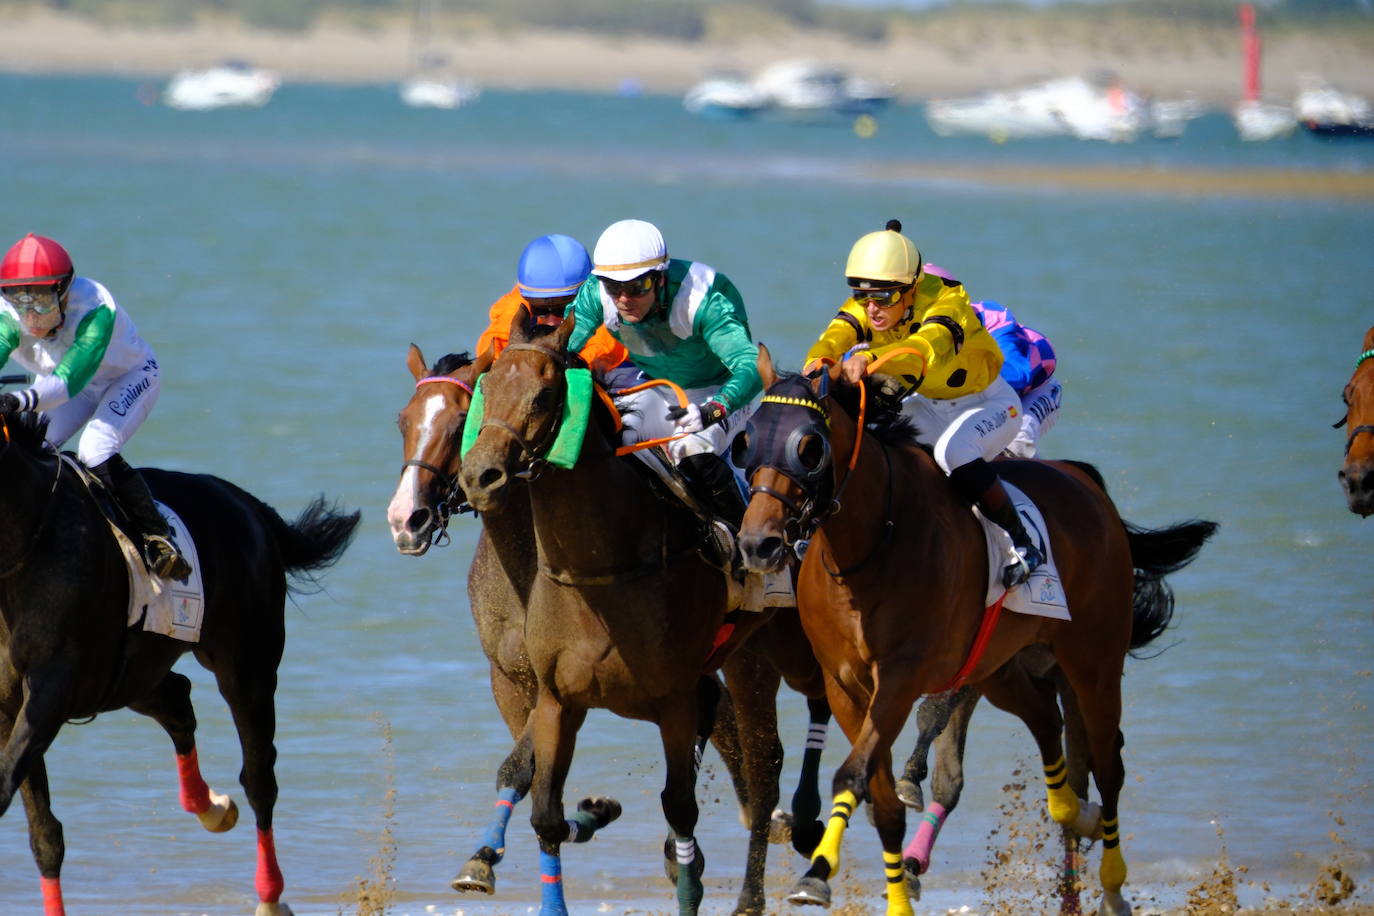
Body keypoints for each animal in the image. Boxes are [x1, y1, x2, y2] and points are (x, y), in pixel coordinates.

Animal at [0, 409, 359, 916]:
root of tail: (244, 501)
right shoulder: (14, 705)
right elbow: (43, 833)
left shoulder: (50, 693)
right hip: (128, 675)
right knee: (178, 700)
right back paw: (212, 807)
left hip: (245, 664)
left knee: (258, 776)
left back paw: (269, 894)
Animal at [458, 317, 796, 916]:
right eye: (486, 385)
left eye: (544, 394)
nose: (481, 475)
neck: (601, 570)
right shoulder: (557, 698)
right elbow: (546, 813)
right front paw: (594, 813)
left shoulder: (673, 699)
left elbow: (680, 805)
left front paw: (688, 882)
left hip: (765, 654)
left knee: (765, 770)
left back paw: (753, 896)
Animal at [736, 347, 1220, 916]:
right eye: (747, 440)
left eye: (808, 446)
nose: (758, 544)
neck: (871, 544)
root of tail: (1085, 482)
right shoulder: (844, 685)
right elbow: (882, 802)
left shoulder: (900, 678)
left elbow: (852, 773)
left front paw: (818, 871)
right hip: (999, 667)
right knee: (1046, 721)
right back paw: (1074, 811)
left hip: (1094, 660)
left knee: (1109, 764)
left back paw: (1114, 886)